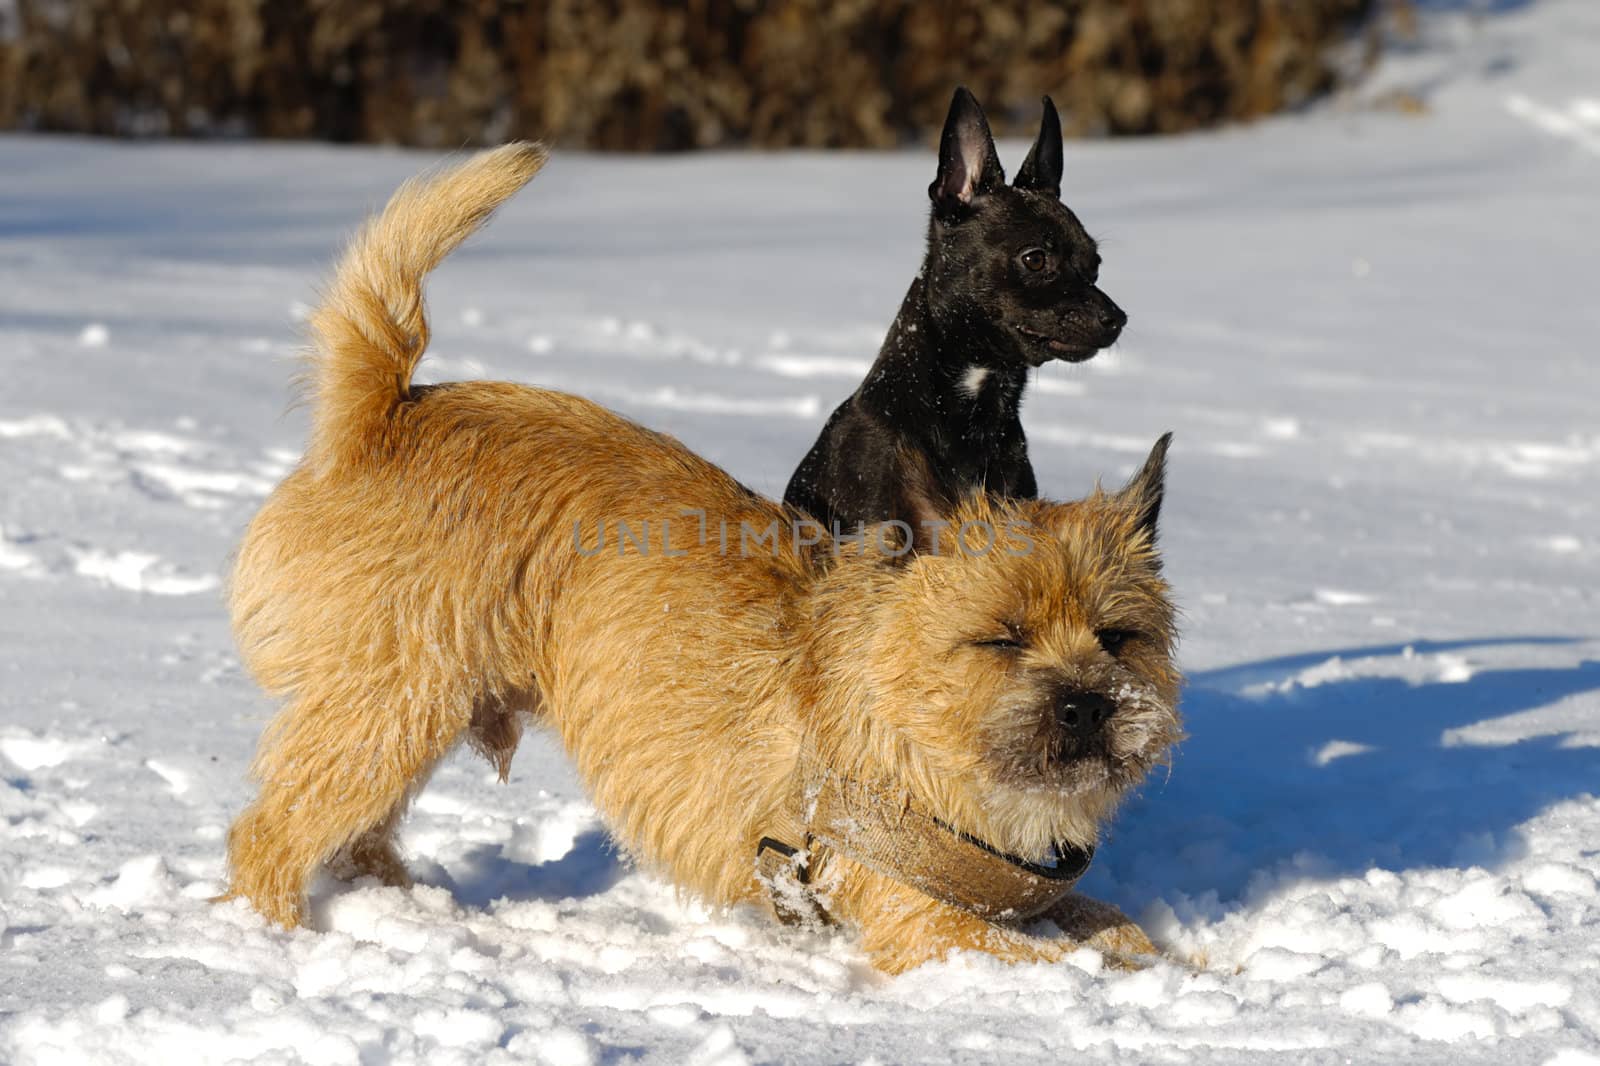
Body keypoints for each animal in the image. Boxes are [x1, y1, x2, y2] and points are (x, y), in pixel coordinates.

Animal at [219, 140, 1184, 973]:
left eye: (1118, 638)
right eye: (1001, 639)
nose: (1087, 706)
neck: (895, 702)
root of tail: (383, 415)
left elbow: (1121, 927)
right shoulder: (930, 923)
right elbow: (1068, 962)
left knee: (355, 837)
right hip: (388, 706)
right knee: (268, 836)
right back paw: (278, 941)